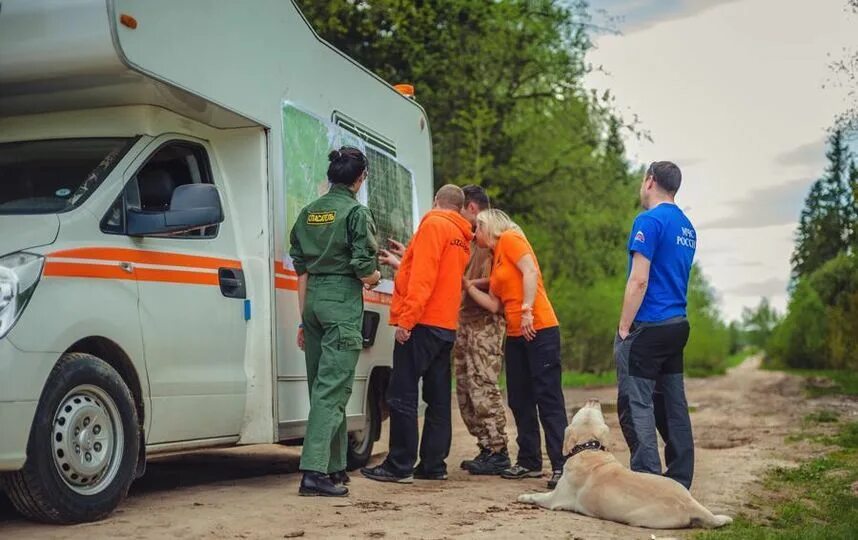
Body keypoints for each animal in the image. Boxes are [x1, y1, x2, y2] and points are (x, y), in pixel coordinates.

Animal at [516, 398, 728, 528]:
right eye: (590, 410)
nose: (594, 399)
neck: (589, 448)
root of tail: (690, 503)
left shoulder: (555, 499)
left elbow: (537, 496)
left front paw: (523, 496)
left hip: (639, 518)